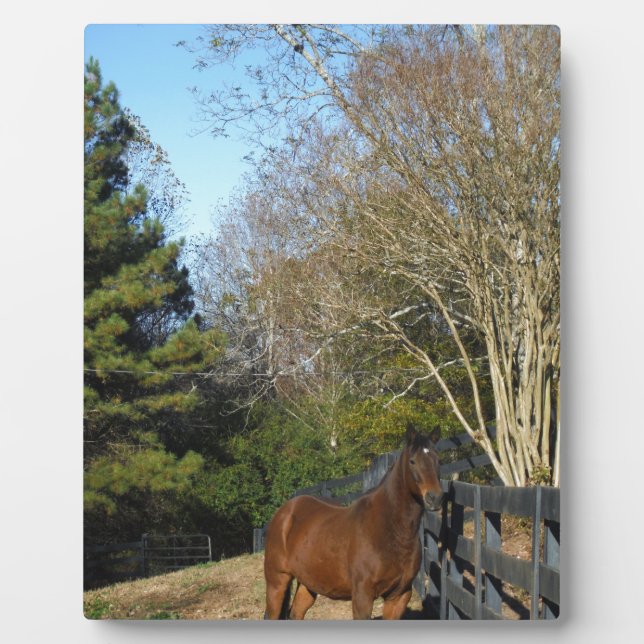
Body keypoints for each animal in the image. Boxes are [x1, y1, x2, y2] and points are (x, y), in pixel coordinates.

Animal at [263, 425, 444, 620]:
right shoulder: (362, 597)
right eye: (412, 461)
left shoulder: (399, 596)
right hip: (277, 581)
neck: (390, 531)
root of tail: (284, 513)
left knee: (296, 613)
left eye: (437, 459)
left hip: (308, 583)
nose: (434, 498)